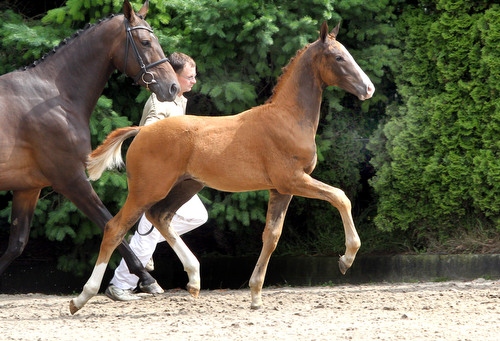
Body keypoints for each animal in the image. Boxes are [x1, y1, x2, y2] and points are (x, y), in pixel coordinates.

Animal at [0, 0, 180, 292]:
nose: (173, 87)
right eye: (145, 42)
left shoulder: (28, 187)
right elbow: (110, 223)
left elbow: (16, 244)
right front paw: (147, 278)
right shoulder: (71, 179)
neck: (55, 96)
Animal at [71, 21, 376, 314]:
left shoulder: (280, 190)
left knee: (161, 217)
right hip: (147, 190)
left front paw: (255, 295)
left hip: (186, 186)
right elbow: (341, 197)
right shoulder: (292, 180)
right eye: (338, 57)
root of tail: (142, 131)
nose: (368, 88)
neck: (287, 118)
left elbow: (271, 236)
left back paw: (194, 280)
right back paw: (82, 298)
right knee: (115, 228)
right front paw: (347, 259)